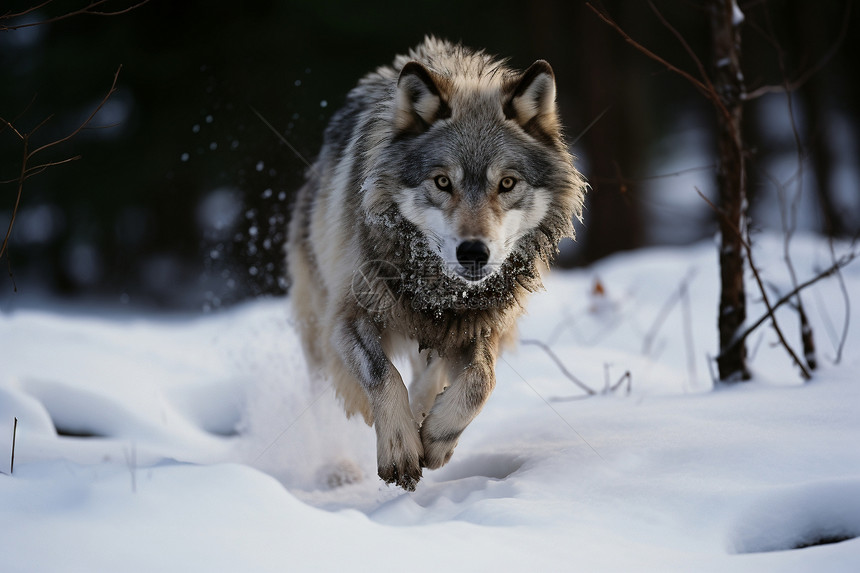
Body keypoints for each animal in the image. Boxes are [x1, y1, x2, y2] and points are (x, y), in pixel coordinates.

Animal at [286, 36, 588, 492]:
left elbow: (480, 381)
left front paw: (436, 437)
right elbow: (383, 374)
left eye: (507, 183)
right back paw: (340, 466)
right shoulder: (347, 315)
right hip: (318, 326)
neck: (440, 291)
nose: (474, 252)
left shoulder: (480, 323)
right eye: (443, 182)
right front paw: (400, 446)